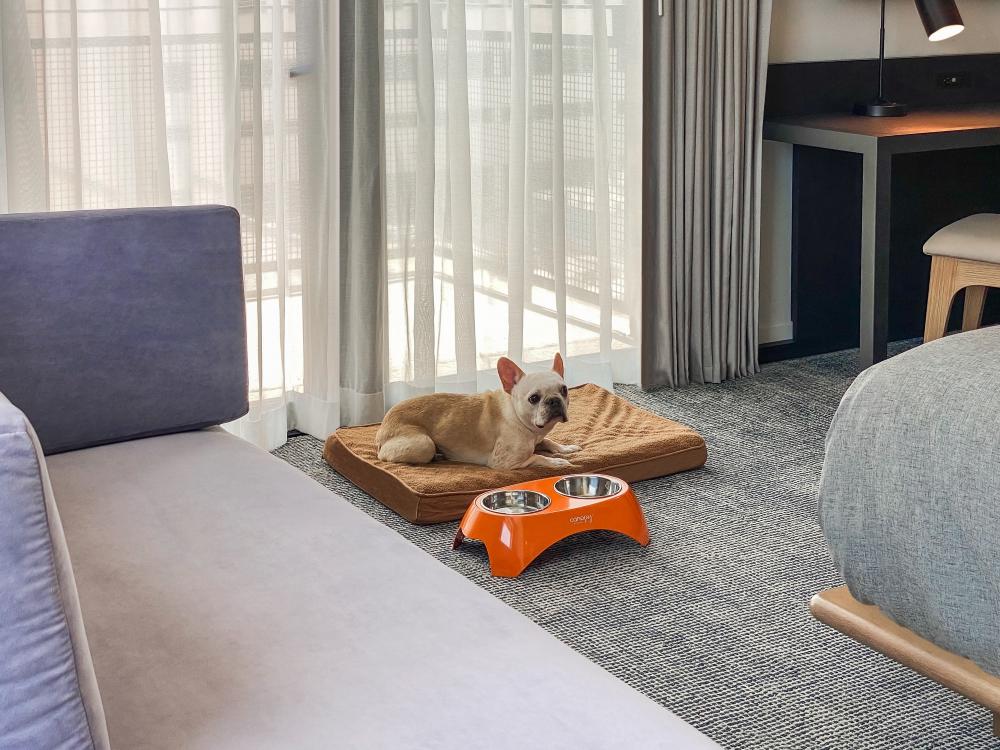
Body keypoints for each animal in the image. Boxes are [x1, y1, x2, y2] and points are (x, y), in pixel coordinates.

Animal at [374, 354, 580, 470]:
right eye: (534, 398)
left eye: (564, 390)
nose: (554, 400)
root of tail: (383, 427)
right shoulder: (503, 462)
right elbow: (537, 457)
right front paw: (557, 462)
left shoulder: (538, 438)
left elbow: (548, 441)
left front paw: (565, 448)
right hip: (423, 444)